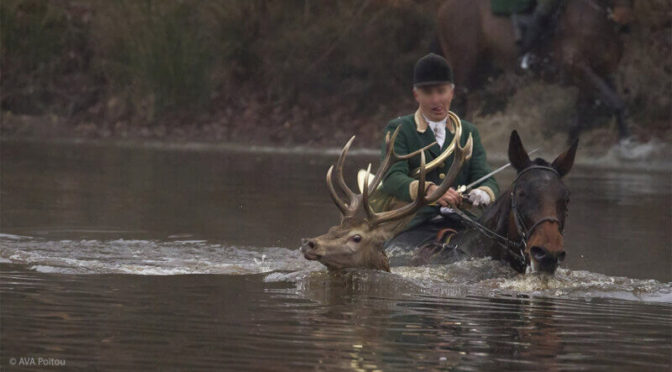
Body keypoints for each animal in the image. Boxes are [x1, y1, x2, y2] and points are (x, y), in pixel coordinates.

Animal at [436, 0, 636, 141]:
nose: (623, 18)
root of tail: (445, 6)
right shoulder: (578, 66)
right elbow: (617, 103)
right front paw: (628, 146)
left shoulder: (598, 73)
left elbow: (578, 120)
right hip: (465, 65)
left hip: (482, 70)